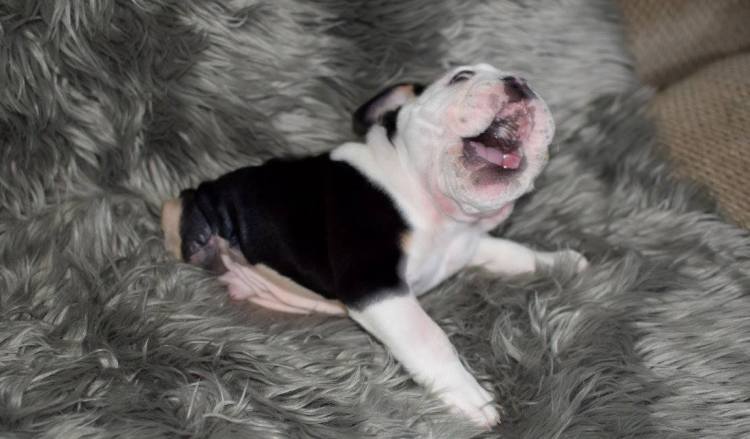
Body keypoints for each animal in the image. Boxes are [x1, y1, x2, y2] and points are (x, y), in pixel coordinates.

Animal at [160, 64, 588, 428]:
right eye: (461, 77)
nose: (519, 81)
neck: (437, 211)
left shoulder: (468, 245)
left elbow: (512, 252)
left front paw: (561, 262)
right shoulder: (374, 284)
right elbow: (429, 338)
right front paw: (469, 395)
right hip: (190, 208)